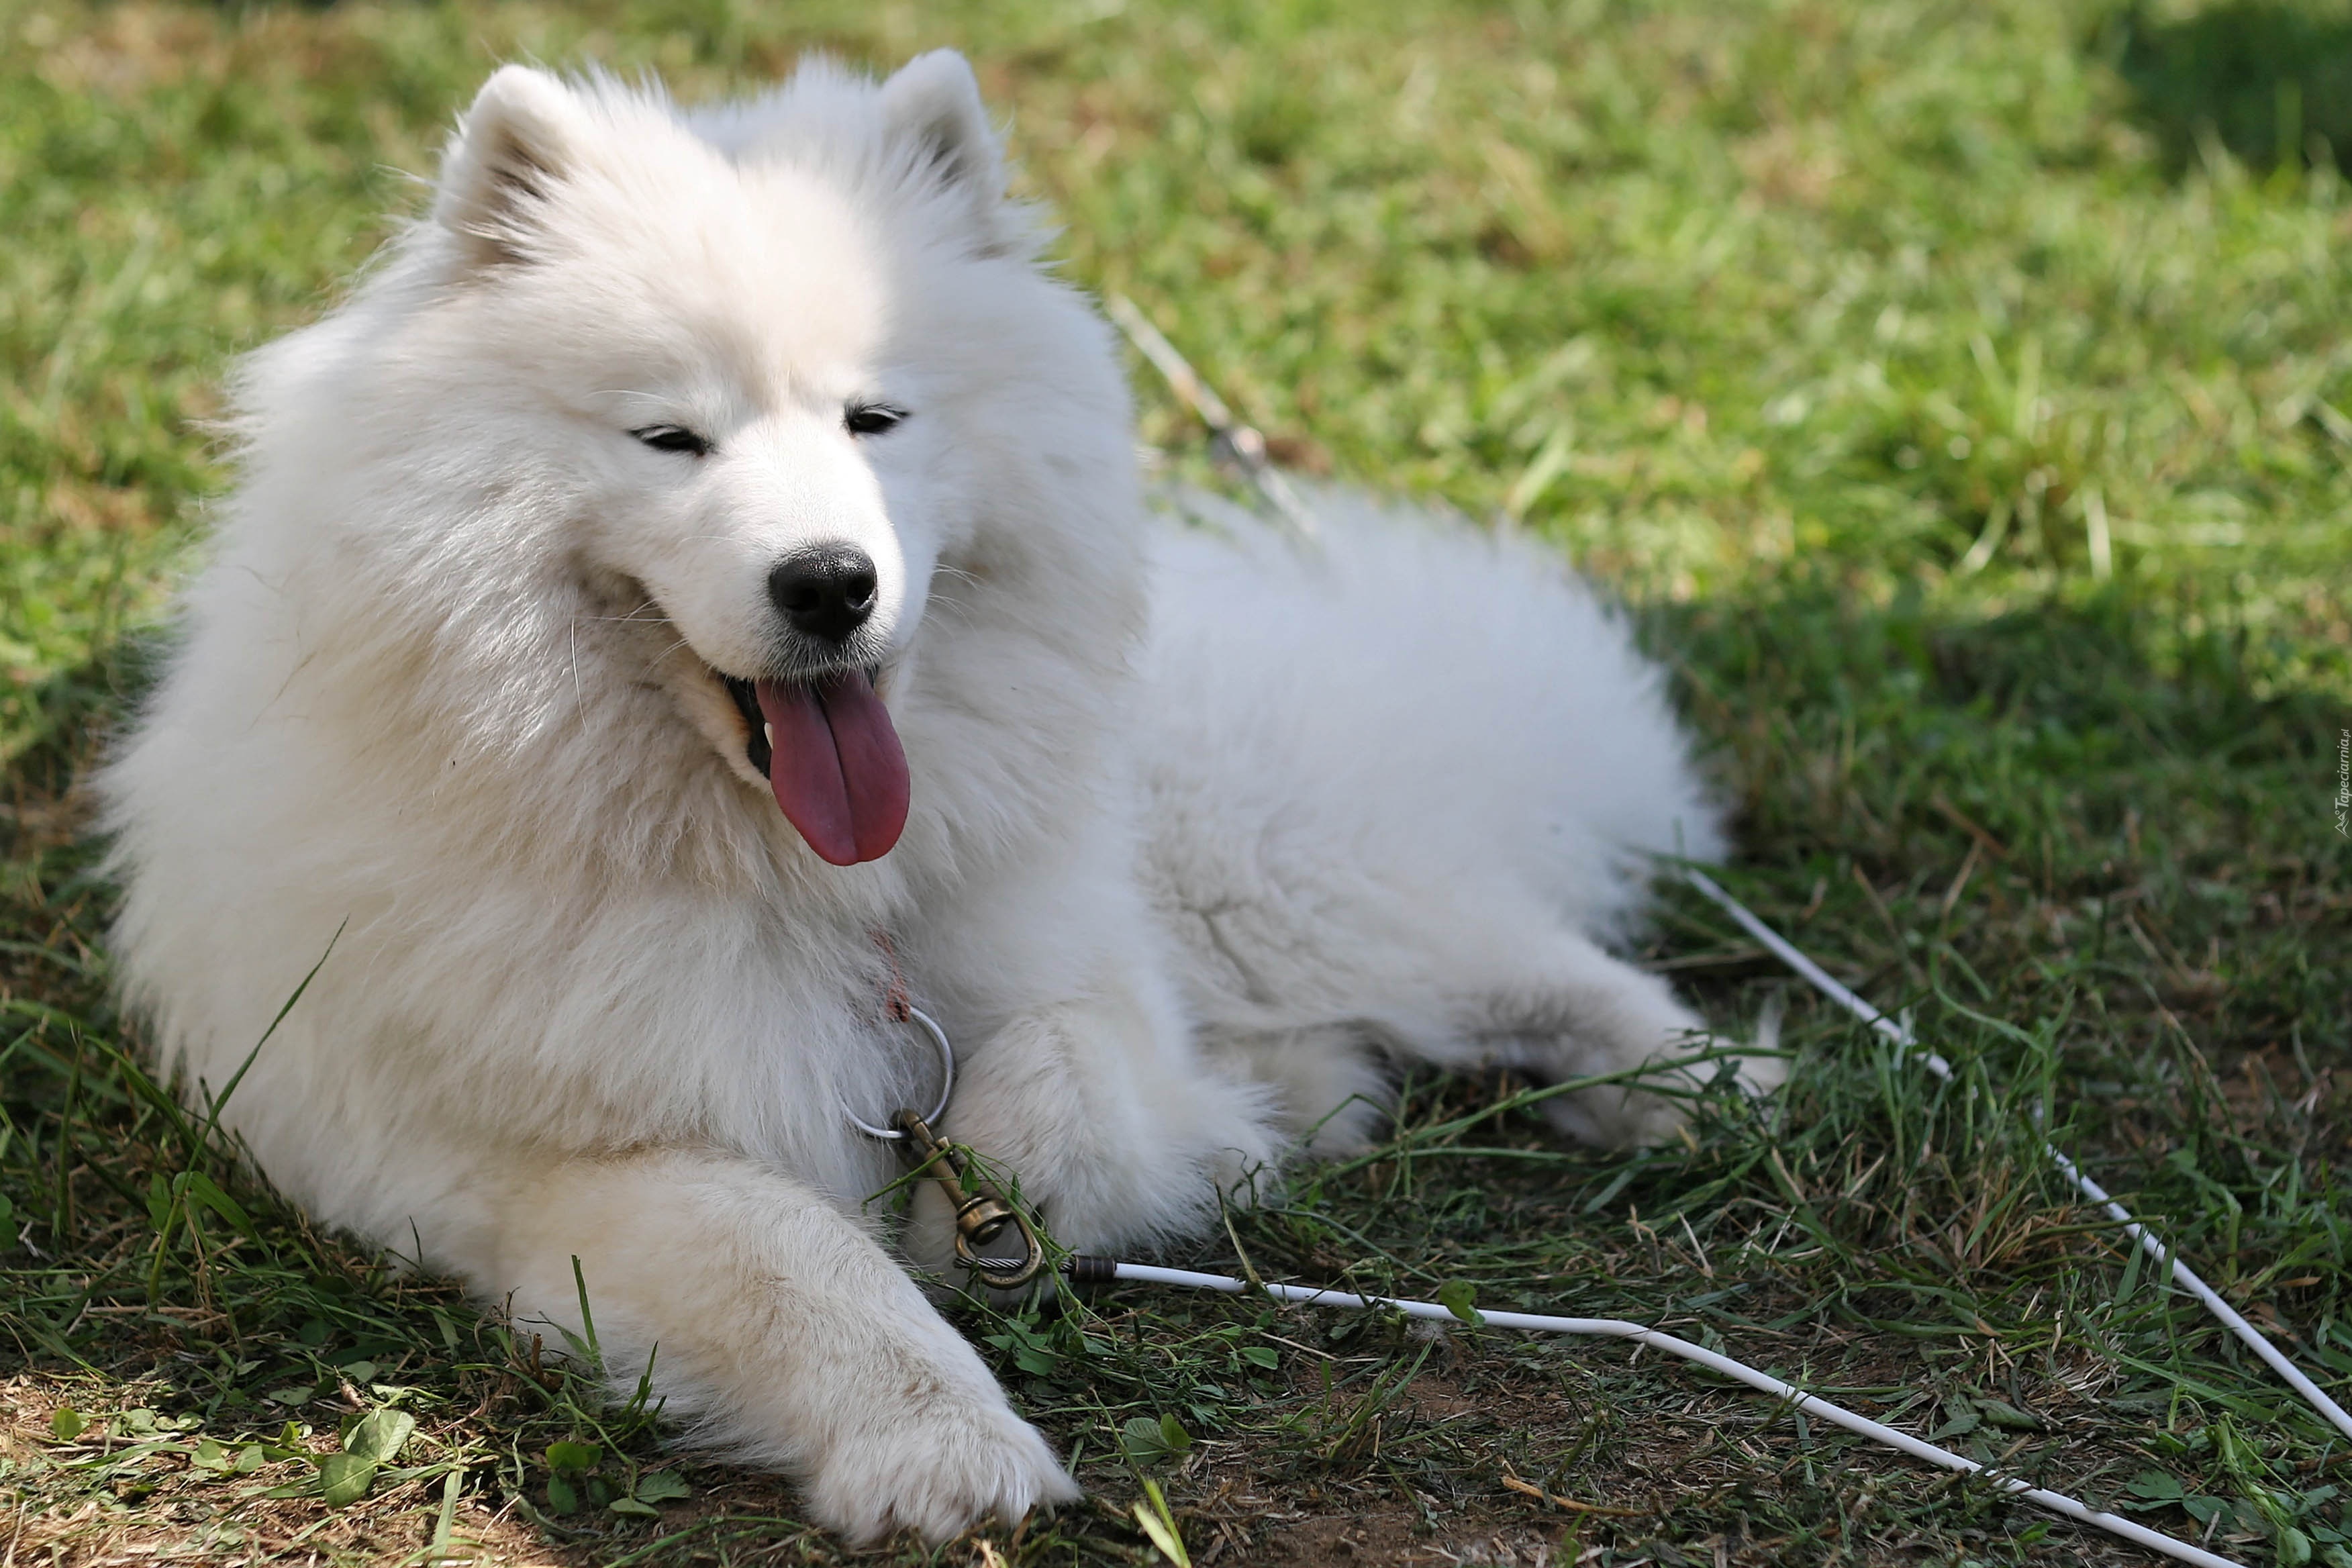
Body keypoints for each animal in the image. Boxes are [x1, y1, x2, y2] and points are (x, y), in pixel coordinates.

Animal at [101, 52, 1769, 1542]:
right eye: (671, 436)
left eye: (875, 419)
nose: (831, 583)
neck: (800, 883)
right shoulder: (550, 1167)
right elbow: (800, 1262)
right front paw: (942, 1445)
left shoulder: (1088, 983)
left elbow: (1053, 1083)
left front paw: (992, 1220)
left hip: (1261, 879)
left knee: (1521, 964)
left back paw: (1702, 1086)